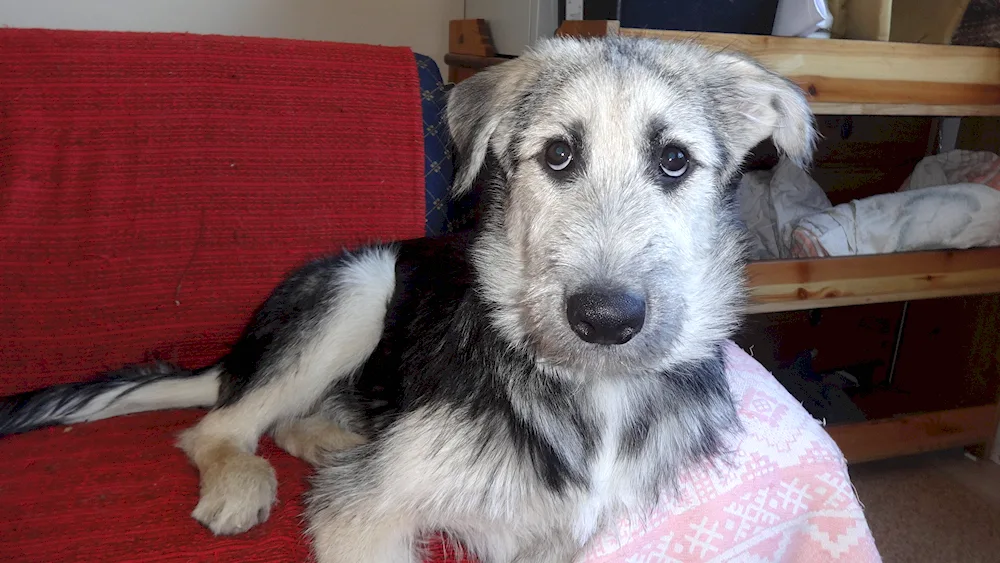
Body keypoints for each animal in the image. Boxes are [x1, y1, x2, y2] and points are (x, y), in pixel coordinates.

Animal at [0, 34, 812, 563]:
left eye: (674, 161)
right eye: (558, 155)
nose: (606, 318)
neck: (588, 393)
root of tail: (236, 356)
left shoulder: (559, 539)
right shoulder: (362, 517)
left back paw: (330, 439)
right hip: (357, 289)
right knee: (216, 426)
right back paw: (247, 479)